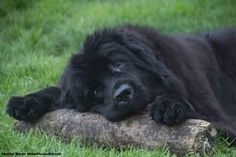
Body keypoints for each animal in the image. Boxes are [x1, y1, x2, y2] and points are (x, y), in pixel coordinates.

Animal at [5, 25, 236, 136]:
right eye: (94, 91)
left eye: (117, 63)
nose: (123, 94)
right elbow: (57, 92)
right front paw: (25, 102)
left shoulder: (220, 116)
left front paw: (169, 105)